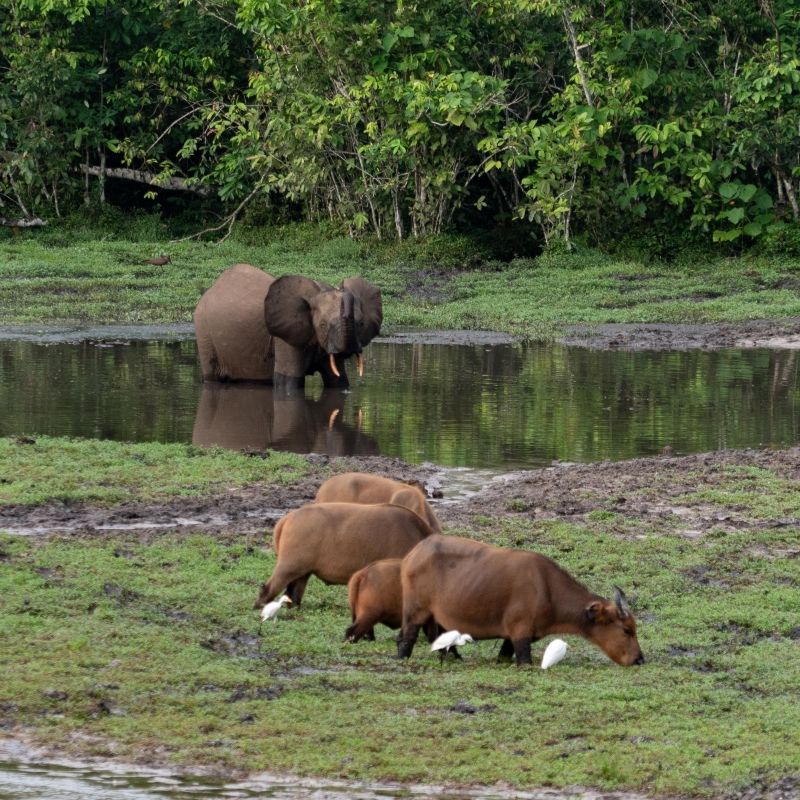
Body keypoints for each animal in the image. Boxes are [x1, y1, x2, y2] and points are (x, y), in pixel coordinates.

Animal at [193, 263, 382, 390]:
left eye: (360, 324)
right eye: (322, 325)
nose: (343, 289)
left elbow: (338, 381)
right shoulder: (284, 337)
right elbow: (288, 383)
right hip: (203, 327)